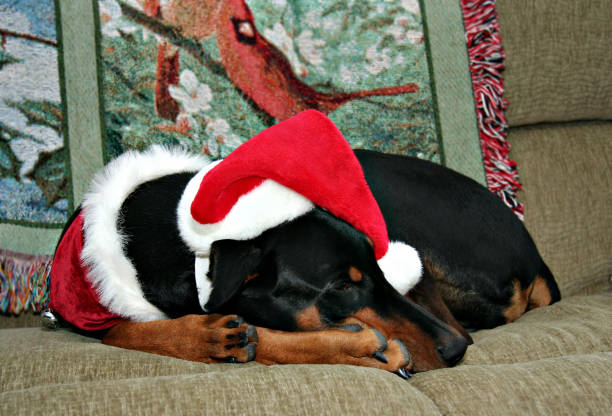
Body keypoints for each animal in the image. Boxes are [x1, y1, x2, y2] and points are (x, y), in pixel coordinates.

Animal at [50, 109, 560, 374]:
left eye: (376, 268)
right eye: (341, 286)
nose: (458, 350)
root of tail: (534, 256)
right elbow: (122, 329)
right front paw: (206, 336)